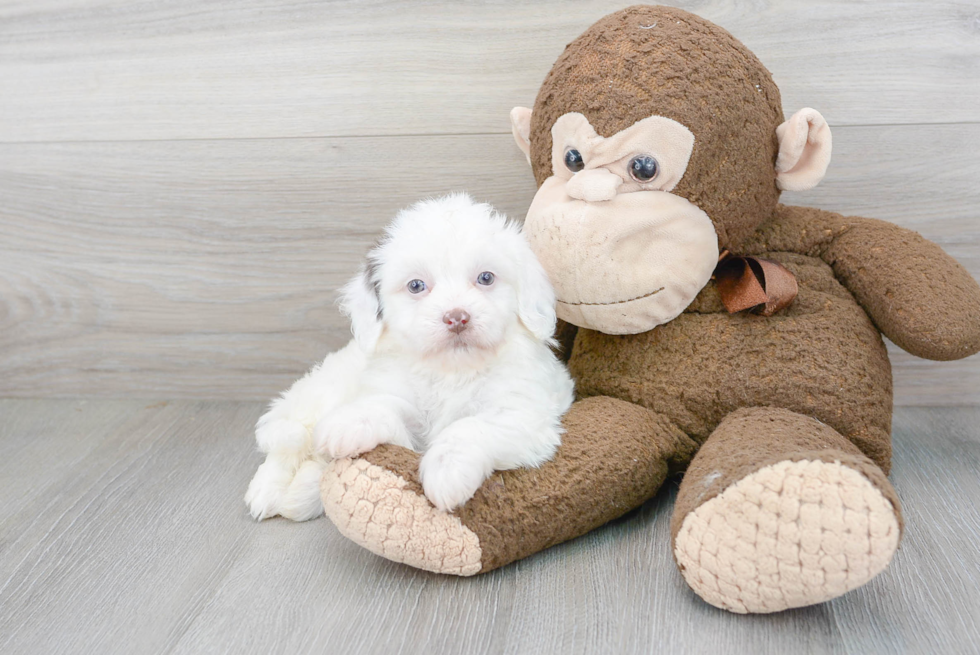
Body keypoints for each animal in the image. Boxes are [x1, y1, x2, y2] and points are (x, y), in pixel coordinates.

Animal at [244, 193, 576, 524]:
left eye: (486, 278)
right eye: (416, 286)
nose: (457, 317)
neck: (452, 371)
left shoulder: (523, 414)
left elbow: (470, 427)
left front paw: (447, 470)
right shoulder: (396, 395)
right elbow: (382, 407)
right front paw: (350, 422)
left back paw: (301, 491)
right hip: (323, 393)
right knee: (288, 442)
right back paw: (267, 491)